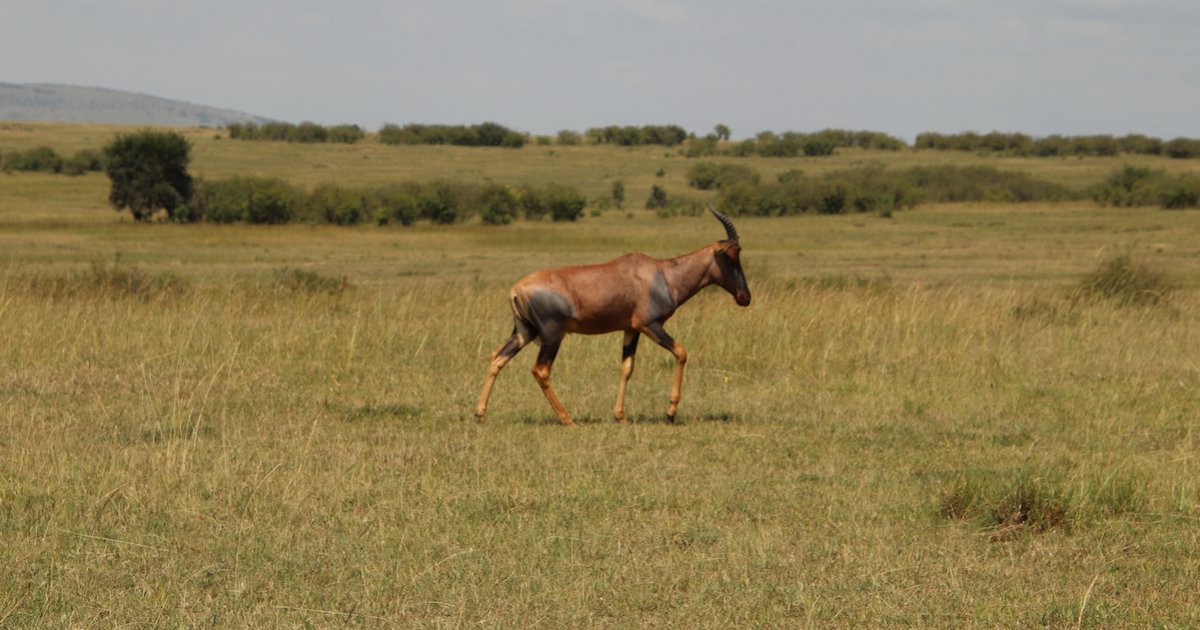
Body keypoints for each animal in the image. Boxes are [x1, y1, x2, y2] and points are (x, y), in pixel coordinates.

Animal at [474, 206, 750, 426]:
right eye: (731, 255)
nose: (745, 296)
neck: (661, 274)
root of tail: (516, 289)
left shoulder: (631, 329)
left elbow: (626, 367)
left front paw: (620, 416)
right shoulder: (650, 325)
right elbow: (681, 352)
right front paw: (670, 412)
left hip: (524, 332)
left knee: (497, 357)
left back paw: (480, 413)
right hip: (552, 335)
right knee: (540, 370)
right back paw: (568, 420)